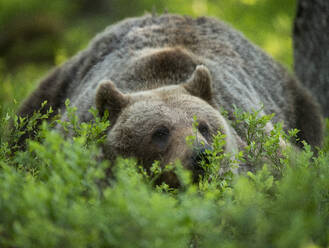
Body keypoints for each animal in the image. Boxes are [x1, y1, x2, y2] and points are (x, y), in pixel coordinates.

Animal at [18, 13, 322, 184]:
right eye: (160, 131)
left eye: (204, 127)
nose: (202, 155)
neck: (157, 78)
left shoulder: (257, 142)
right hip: (51, 94)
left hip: (298, 107)